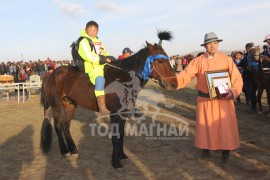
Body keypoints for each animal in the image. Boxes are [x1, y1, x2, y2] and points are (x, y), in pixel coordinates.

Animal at [39, 31, 177, 169]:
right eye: (160, 61)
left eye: (167, 58)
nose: (174, 83)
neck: (123, 79)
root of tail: (50, 74)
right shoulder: (115, 113)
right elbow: (115, 137)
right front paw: (115, 161)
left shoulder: (123, 112)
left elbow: (121, 134)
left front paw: (122, 155)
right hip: (56, 105)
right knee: (58, 126)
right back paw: (64, 150)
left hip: (70, 104)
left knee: (65, 126)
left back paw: (73, 149)